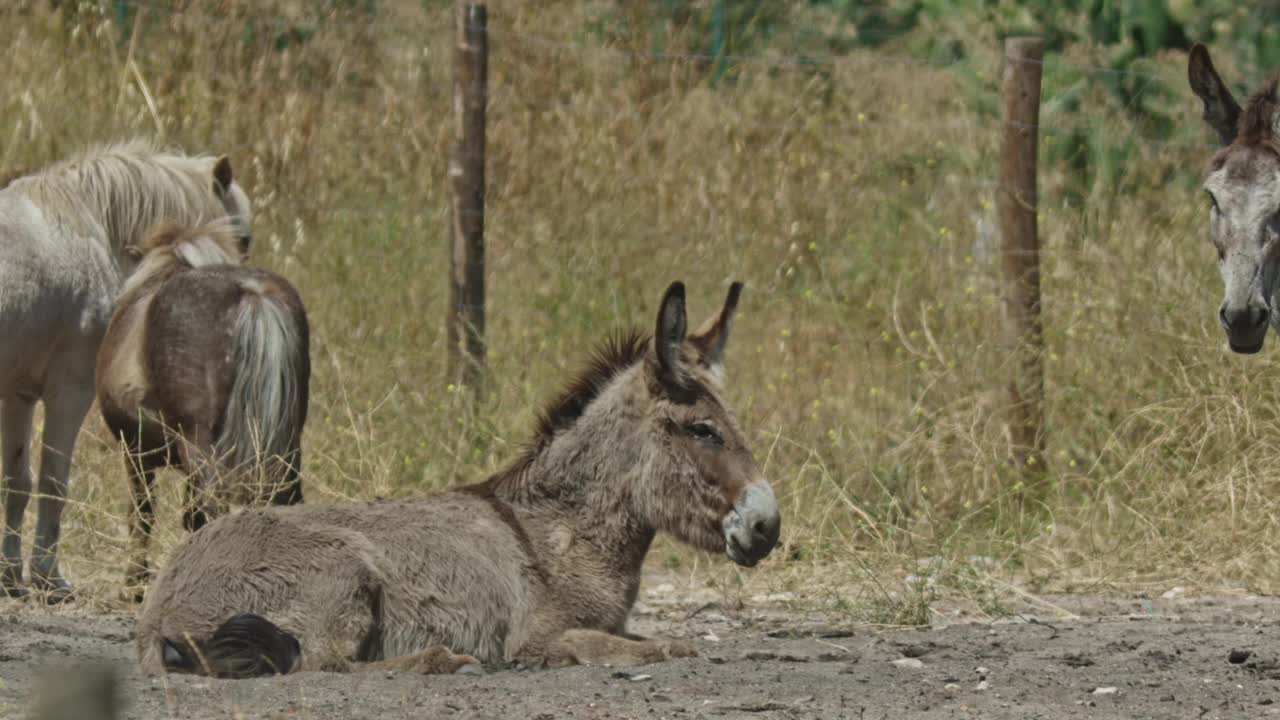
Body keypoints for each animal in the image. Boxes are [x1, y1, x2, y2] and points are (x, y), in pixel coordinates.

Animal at [0, 140, 252, 599]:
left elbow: (17, 481)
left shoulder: (18, 395)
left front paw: (11, 576)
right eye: (243, 237)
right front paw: (49, 576)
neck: (86, 228)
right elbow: (53, 483)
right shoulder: (69, 392)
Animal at [94, 220, 309, 599]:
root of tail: (252, 295)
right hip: (285, 443)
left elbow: (142, 513)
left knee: (212, 505)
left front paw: (135, 582)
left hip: (198, 443)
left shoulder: (134, 450)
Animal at [137, 279, 778, 671]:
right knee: (323, 663)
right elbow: (668, 646)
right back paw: (441, 661)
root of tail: (158, 608)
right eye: (703, 430)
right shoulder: (540, 636)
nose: (768, 525)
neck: (562, 532)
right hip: (342, 569)